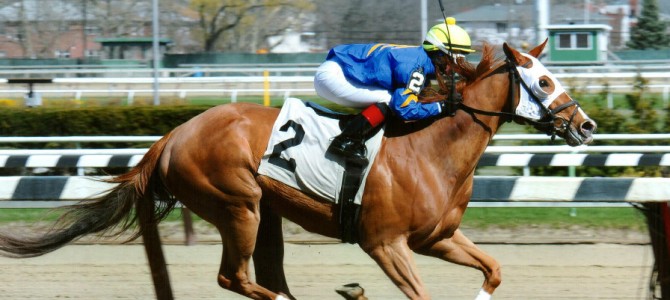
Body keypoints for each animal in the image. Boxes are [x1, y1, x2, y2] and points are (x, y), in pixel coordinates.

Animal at [0, 40, 600, 300]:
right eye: (543, 81)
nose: (587, 125)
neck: (431, 147)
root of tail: (172, 136)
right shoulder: (385, 243)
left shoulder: (436, 238)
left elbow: (493, 270)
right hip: (238, 205)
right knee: (236, 278)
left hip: (265, 214)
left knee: (265, 277)